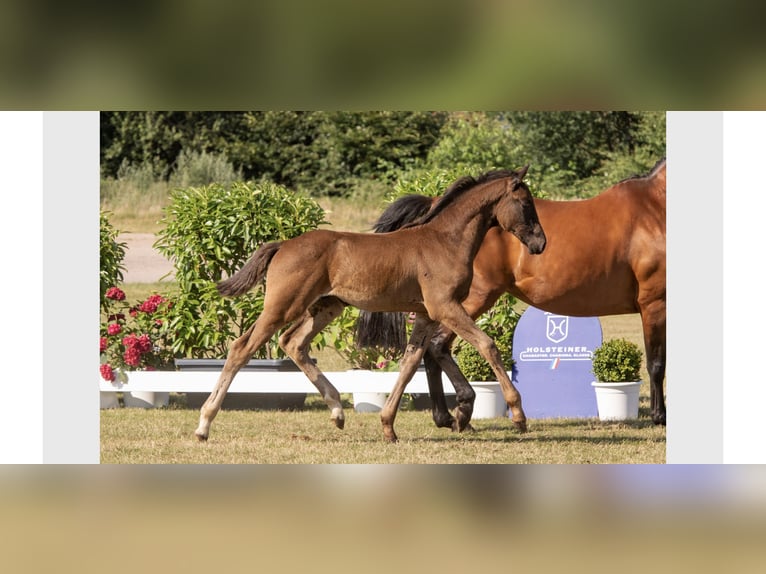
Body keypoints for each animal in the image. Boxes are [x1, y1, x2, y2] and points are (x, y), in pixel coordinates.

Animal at [194, 167, 546, 443]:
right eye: (526, 203)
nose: (540, 244)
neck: (444, 241)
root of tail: (283, 245)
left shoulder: (425, 314)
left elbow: (409, 363)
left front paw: (388, 427)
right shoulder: (445, 307)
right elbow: (487, 345)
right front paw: (518, 414)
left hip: (326, 307)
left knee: (293, 343)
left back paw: (338, 412)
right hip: (283, 306)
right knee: (242, 347)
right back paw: (204, 425)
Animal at [357, 158, 666, 430]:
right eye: (526, 205)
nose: (540, 242)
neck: (654, 209)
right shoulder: (654, 303)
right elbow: (656, 363)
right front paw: (660, 417)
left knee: (433, 349)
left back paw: (449, 417)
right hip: (467, 301)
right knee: (437, 346)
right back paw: (458, 414)